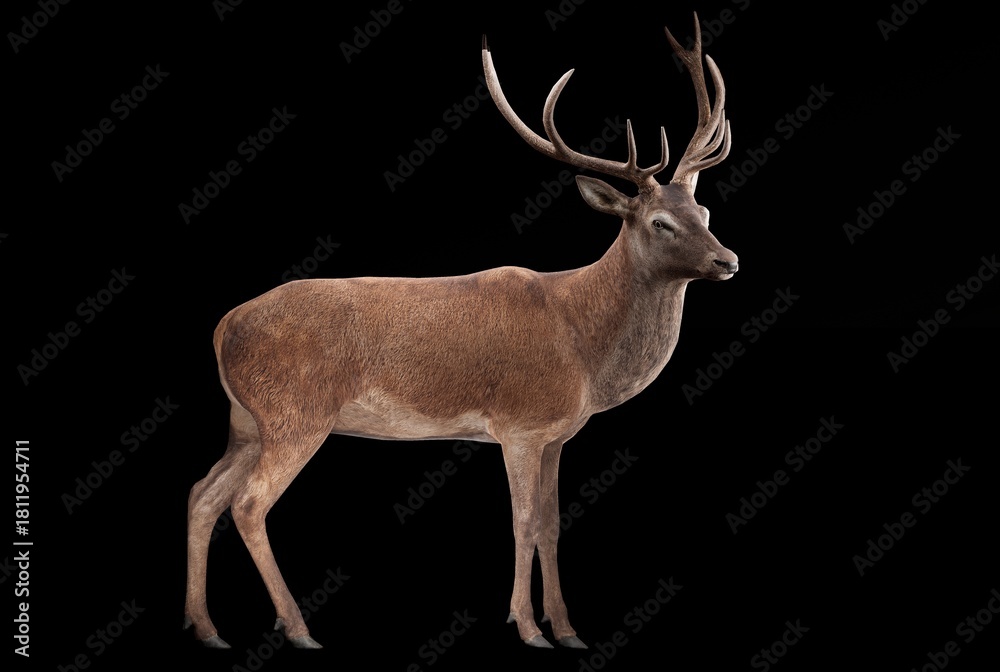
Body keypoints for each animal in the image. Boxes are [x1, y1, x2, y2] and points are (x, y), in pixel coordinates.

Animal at [184, 13, 736, 651]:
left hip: (248, 420)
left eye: (706, 213)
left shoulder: (557, 435)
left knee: (203, 494)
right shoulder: (520, 423)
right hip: (296, 413)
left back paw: (206, 628)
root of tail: (223, 326)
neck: (584, 350)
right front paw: (528, 628)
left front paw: (568, 630)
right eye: (660, 222)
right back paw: (298, 629)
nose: (728, 260)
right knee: (249, 504)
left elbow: (552, 525)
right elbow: (523, 522)